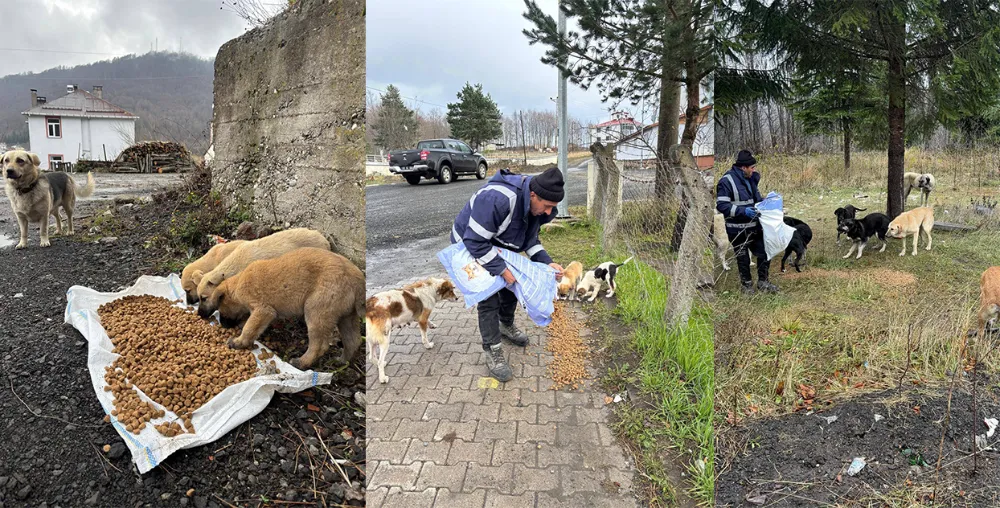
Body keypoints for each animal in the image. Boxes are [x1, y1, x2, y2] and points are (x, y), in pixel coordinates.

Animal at [197, 249, 366, 372]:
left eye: (220, 308)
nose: (224, 326)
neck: (238, 283)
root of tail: (356, 278)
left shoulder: (263, 311)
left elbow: (249, 328)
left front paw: (239, 341)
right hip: (346, 316)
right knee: (353, 341)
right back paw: (341, 361)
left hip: (316, 311)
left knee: (320, 345)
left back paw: (302, 362)